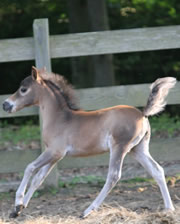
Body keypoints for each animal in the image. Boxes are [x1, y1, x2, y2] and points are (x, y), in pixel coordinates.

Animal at [2, 67, 176, 219]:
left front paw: (18, 203)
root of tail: (142, 114)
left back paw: (87, 211)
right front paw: (17, 210)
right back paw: (169, 209)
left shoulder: (54, 152)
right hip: (138, 149)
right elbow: (38, 179)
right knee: (157, 170)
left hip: (119, 148)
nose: (5, 104)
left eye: (23, 89)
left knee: (113, 176)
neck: (59, 118)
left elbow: (29, 168)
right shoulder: (55, 156)